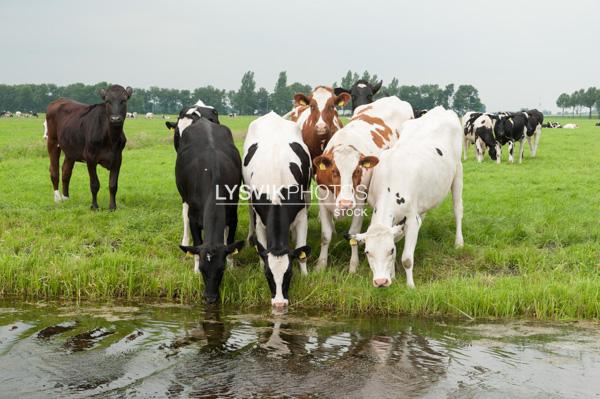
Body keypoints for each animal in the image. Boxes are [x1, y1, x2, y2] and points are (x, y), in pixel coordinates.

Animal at [171, 105, 244, 304]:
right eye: (204, 270)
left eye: (221, 270)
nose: (210, 298)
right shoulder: (194, 217)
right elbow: (197, 242)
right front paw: (195, 268)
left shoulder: (233, 214)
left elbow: (230, 239)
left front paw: (231, 264)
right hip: (183, 197)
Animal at [241, 112, 312, 310]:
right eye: (268, 274)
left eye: (289, 274)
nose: (279, 303)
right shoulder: (260, 219)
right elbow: (261, 247)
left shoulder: (301, 216)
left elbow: (301, 252)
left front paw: (305, 275)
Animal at [310, 95, 412, 274]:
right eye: (334, 172)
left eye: (357, 171)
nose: (345, 203)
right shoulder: (323, 201)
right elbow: (325, 235)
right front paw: (321, 265)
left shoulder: (358, 202)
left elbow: (354, 234)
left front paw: (353, 265)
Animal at [346, 106, 464, 288]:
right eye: (367, 252)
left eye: (389, 250)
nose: (380, 281)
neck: (390, 180)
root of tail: (441, 109)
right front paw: (393, 276)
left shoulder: (410, 220)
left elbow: (407, 259)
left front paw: (410, 286)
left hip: (458, 170)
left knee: (458, 208)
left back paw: (459, 242)